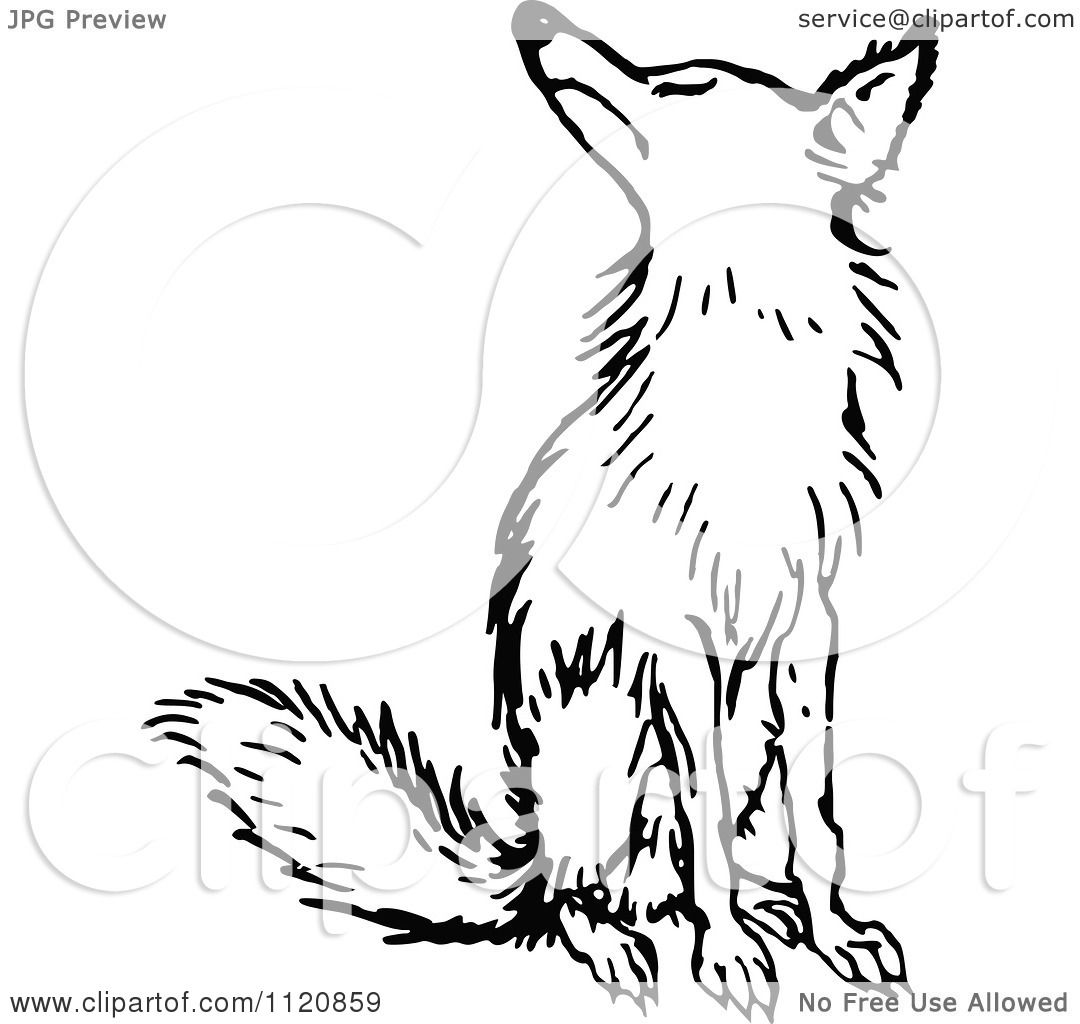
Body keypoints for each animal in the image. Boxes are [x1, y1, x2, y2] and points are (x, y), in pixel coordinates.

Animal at [147, 3, 938, 1018]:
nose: (537, 18)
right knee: (583, 896)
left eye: (681, 80)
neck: (741, 387)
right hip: (604, 745)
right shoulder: (678, 649)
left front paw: (835, 933)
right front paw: (728, 955)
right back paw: (630, 938)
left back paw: (760, 911)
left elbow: (819, 810)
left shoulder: (809, 631)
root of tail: (521, 855)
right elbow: (711, 816)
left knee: (699, 855)